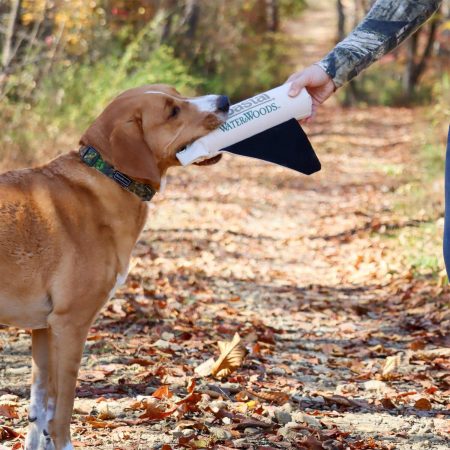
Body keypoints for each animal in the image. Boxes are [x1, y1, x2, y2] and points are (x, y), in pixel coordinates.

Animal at [0, 84, 230, 450]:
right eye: (172, 111)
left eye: (178, 93)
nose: (224, 101)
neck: (108, 177)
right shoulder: (70, 325)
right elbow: (61, 412)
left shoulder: (44, 329)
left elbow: (39, 410)